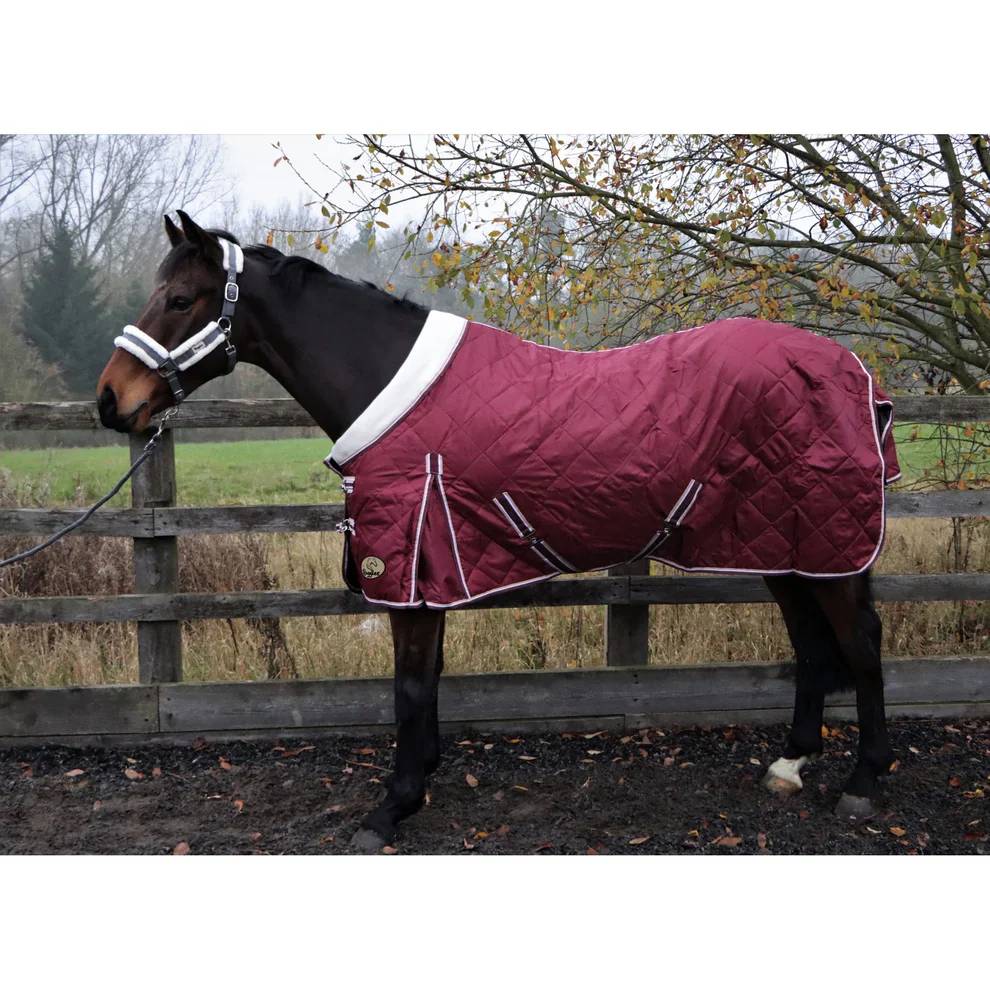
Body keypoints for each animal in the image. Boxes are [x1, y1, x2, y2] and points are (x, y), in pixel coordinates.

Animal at [97, 211, 900, 852]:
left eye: (178, 299)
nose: (110, 402)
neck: (385, 381)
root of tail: (854, 370)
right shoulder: (433, 567)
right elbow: (429, 680)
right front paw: (420, 779)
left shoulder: (409, 566)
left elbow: (409, 685)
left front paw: (391, 808)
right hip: (785, 545)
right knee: (811, 644)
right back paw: (791, 764)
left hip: (830, 546)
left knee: (861, 645)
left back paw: (864, 783)